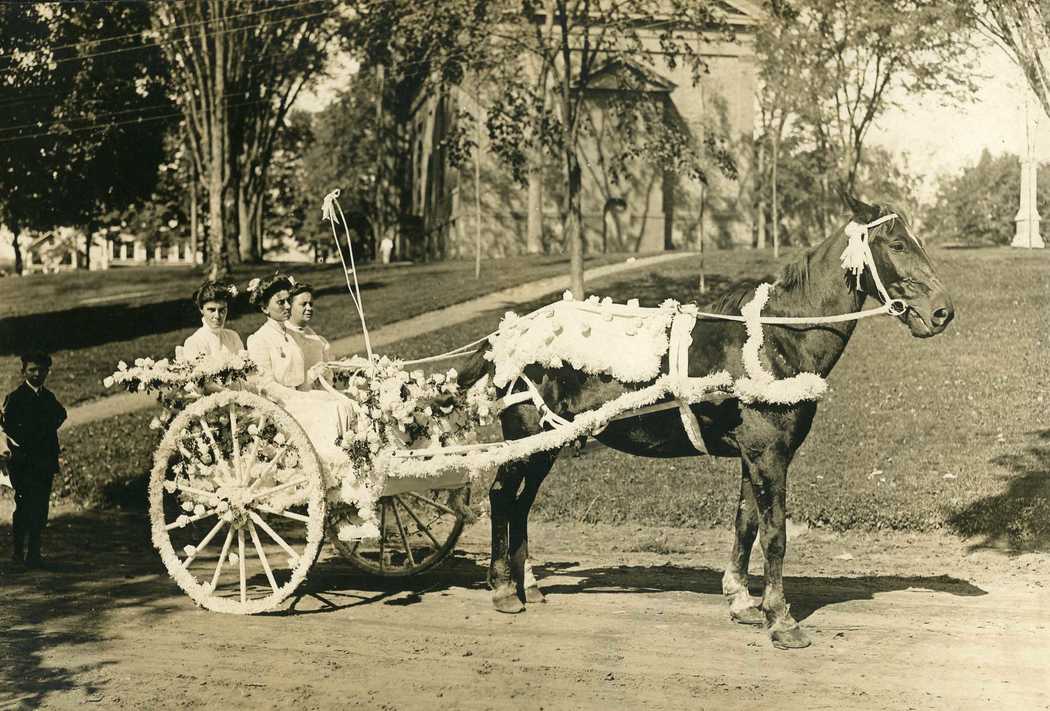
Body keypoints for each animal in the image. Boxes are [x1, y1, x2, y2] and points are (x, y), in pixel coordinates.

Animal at [457, 194, 953, 646]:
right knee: (502, 496)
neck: (776, 338)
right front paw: (781, 619)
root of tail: (508, 333)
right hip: (526, 433)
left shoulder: (754, 456)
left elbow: (746, 523)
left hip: (550, 441)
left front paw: (742, 600)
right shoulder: (768, 454)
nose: (943, 312)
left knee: (521, 504)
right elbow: (775, 535)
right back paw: (503, 588)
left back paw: (528, 583)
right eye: (897, 243)